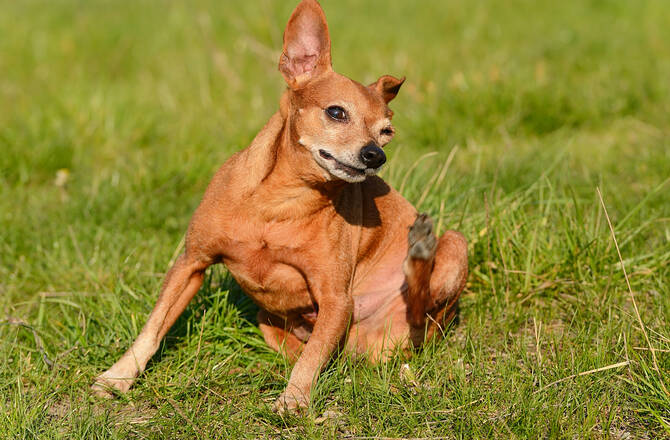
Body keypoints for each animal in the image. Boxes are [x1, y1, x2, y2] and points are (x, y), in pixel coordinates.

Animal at [93, 0, 468, 412]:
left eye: (387, 132)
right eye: (337, 112)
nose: (376, 155)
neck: (281, 201)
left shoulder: (337, 300)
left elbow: (313, 356)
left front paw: (294, 399)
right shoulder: (191, 264)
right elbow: (154, 327)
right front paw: (118, 377)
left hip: (453, 250)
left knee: (419, 303)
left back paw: (420, 247)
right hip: (266, 320)